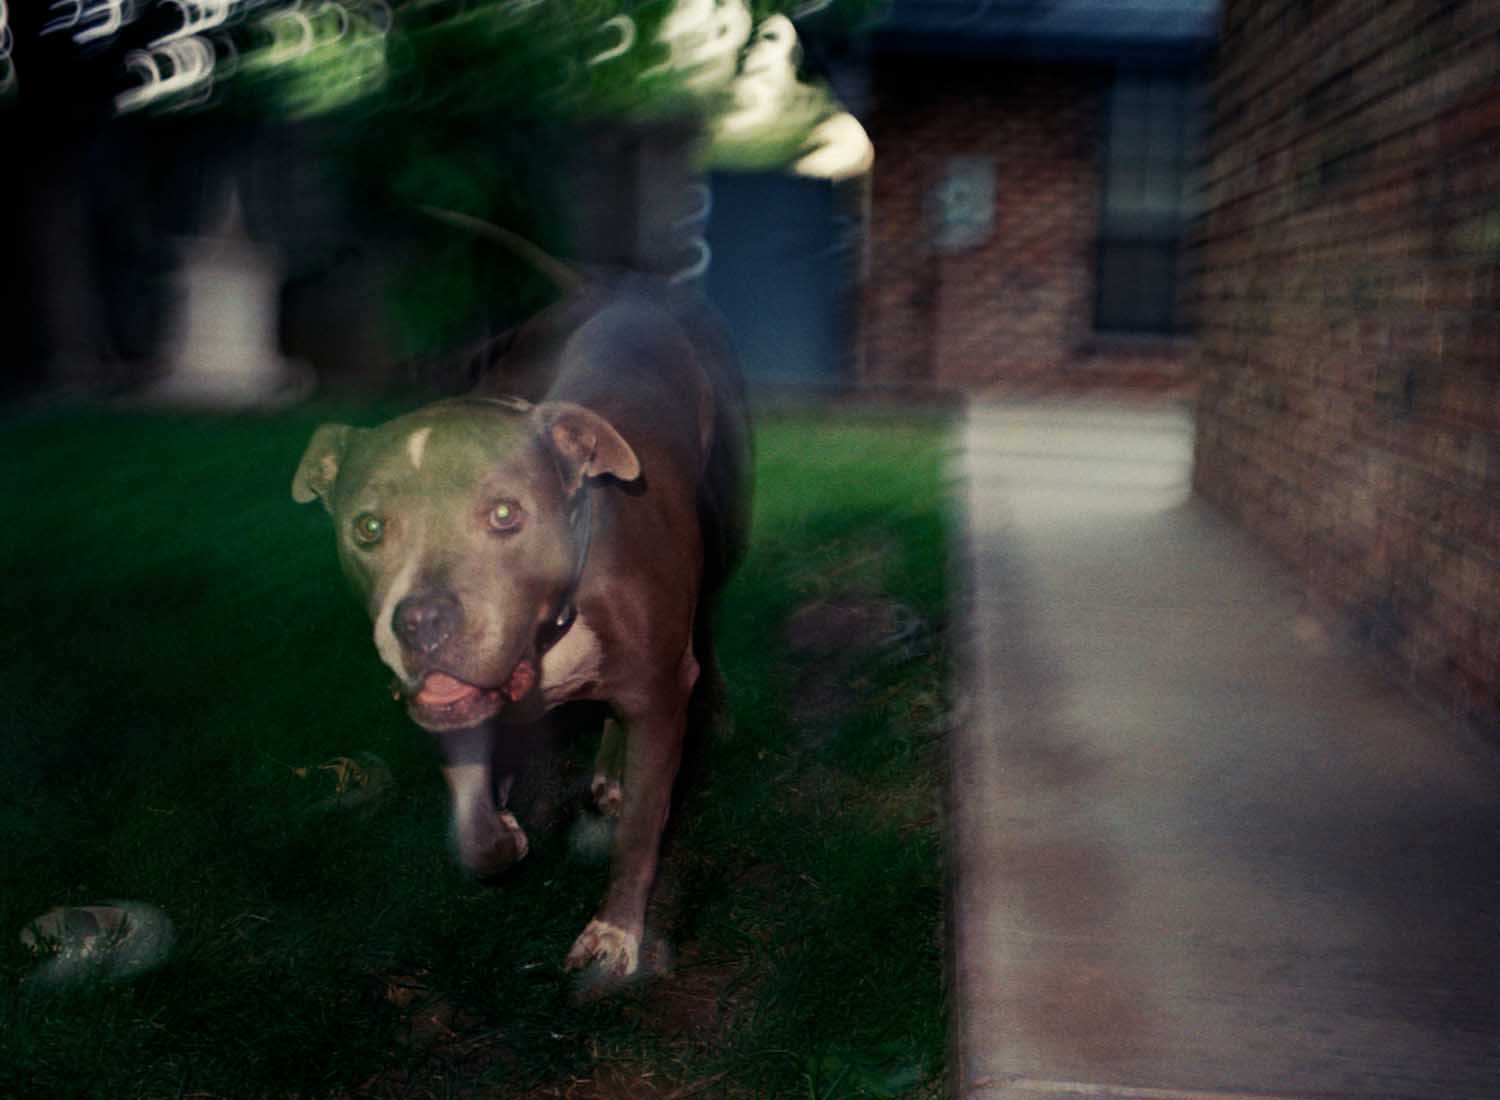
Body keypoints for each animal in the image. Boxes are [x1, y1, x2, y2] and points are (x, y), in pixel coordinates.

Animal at [291, 267, 749, 979]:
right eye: (366, 527)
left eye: (506, 513)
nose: (421, 621)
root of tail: (633, 284)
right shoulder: (456, 703)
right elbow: (473, 823)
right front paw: (502, 829)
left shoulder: (662, 692)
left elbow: (642, 830)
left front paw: (615, 934)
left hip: (726, 528)